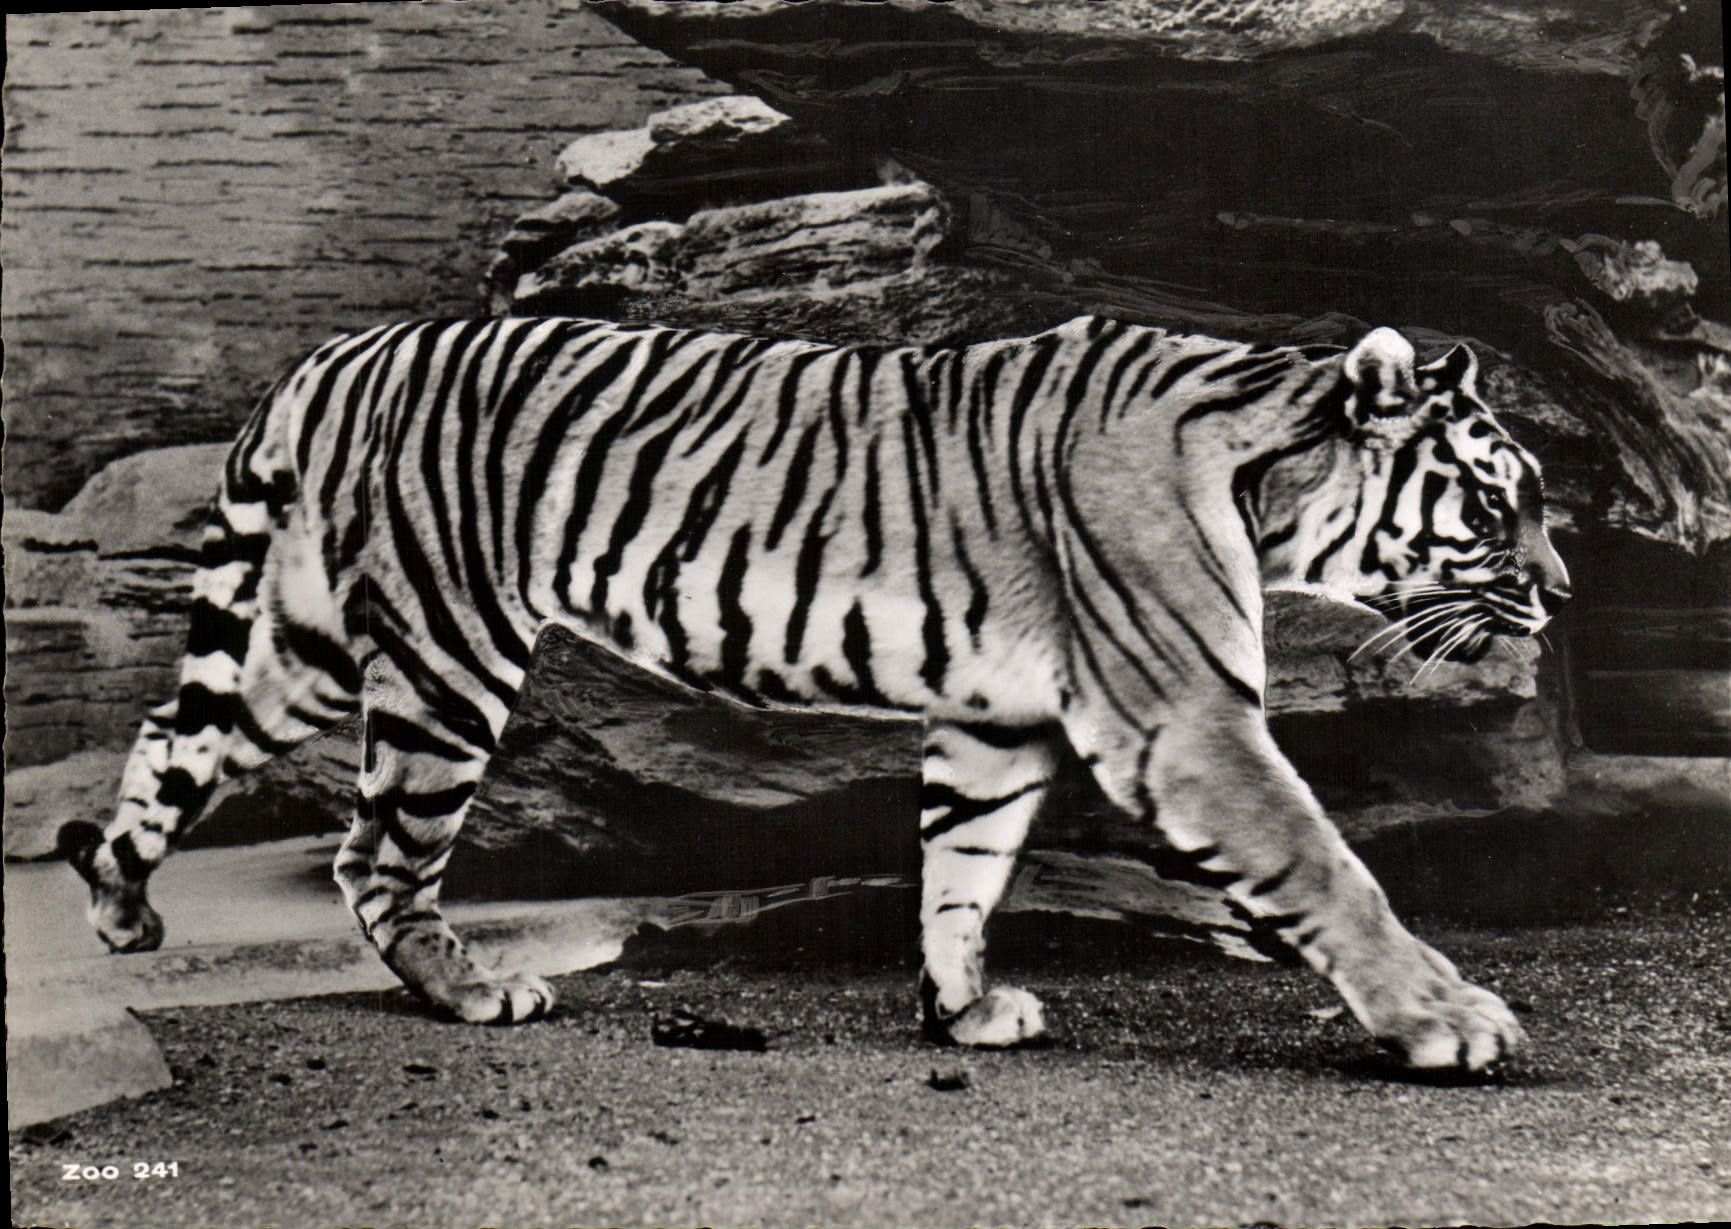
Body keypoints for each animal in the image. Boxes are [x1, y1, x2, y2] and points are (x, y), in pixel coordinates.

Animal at [60, 313, 1570, 1071]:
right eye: (1498, 503)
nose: (1561, 591)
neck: (1272, 474)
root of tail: (337, 352)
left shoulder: (998, 714)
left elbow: (961, 866)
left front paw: (960, 1011)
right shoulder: (1183, 716)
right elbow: (1326, 868)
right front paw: (1449, 1019)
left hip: (317, 639)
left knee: (177, 734)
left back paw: (123, 899)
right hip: (444, 650)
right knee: (377, 850)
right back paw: (470, 990)